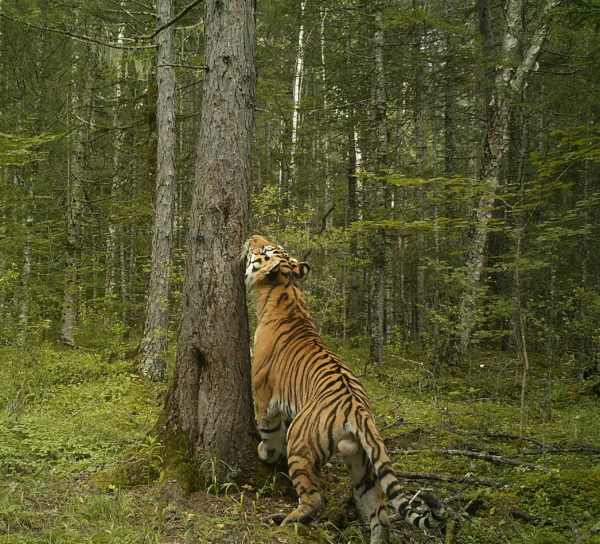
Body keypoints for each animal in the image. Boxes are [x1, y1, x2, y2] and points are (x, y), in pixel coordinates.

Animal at [244, 235, 446, 544]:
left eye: (267, 249)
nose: (252, 237)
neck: (285, 291)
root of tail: (359, 411)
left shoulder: (264, 395)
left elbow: (269, 432)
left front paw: (264, 453)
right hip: (363, 466)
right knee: (380, 515)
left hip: (302, 445)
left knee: (313, 498)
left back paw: (286, 521)